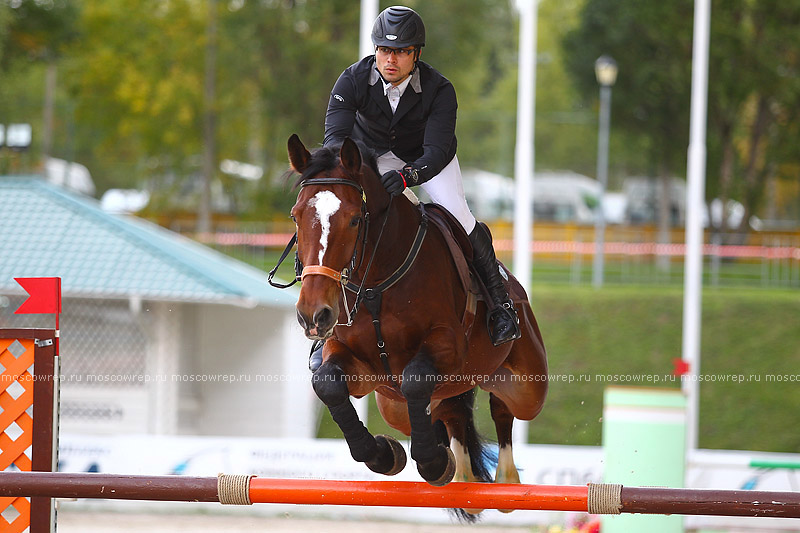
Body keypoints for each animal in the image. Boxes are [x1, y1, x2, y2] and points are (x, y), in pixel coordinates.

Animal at [282, 134, 552, 516]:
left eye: (354, 219)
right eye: (295, 217)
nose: (313, 315)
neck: (376, 283)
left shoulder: (448, 345)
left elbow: (415, 377)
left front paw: (433, 463)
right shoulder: (357, 363)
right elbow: (328, 383)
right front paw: (385, 455)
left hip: (527, 384)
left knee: (503, 407)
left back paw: (506, 481)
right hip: (395, 408)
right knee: (450, 413)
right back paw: (464, 479)